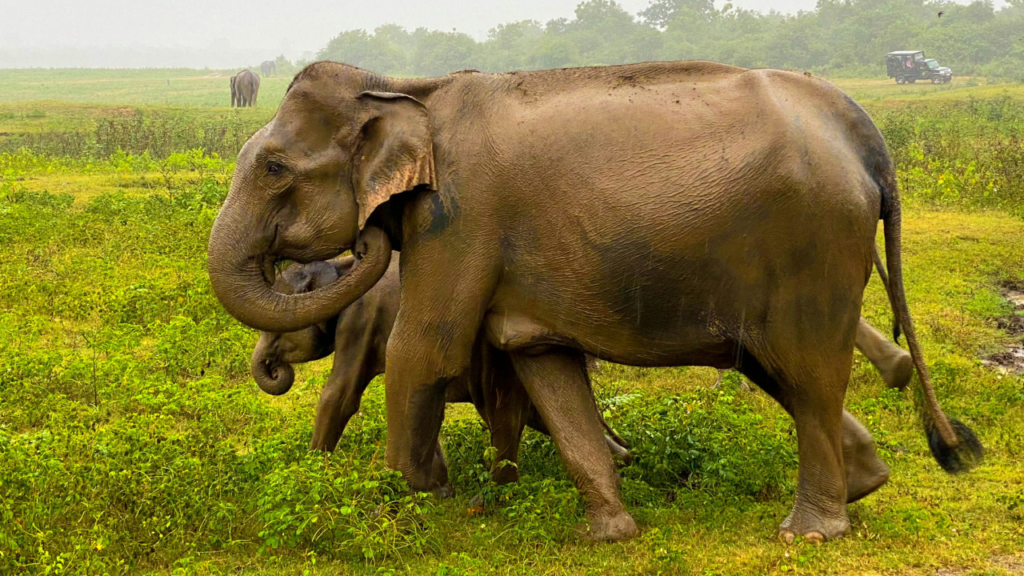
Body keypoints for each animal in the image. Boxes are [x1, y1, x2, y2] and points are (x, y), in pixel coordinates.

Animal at [250, 253, 626, 481]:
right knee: (535, 415)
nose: (274, 367)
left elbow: (340, 396)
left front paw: (312, 472)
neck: (342, 266)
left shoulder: (360, 321)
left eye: (273, 329)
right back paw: (625, 460)